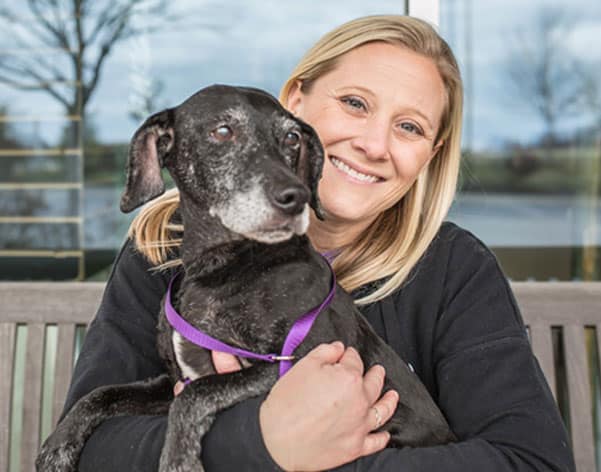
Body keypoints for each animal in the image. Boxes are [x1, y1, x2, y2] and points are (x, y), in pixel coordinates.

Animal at [35, 85, 452, 472]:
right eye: (223, 131)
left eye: (292, 137)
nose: (296, 196)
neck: (224, 267)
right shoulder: (172, 379)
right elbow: (102, 393)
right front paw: (57, 446)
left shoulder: (292, 366)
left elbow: (196, 394)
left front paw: (178, 461)